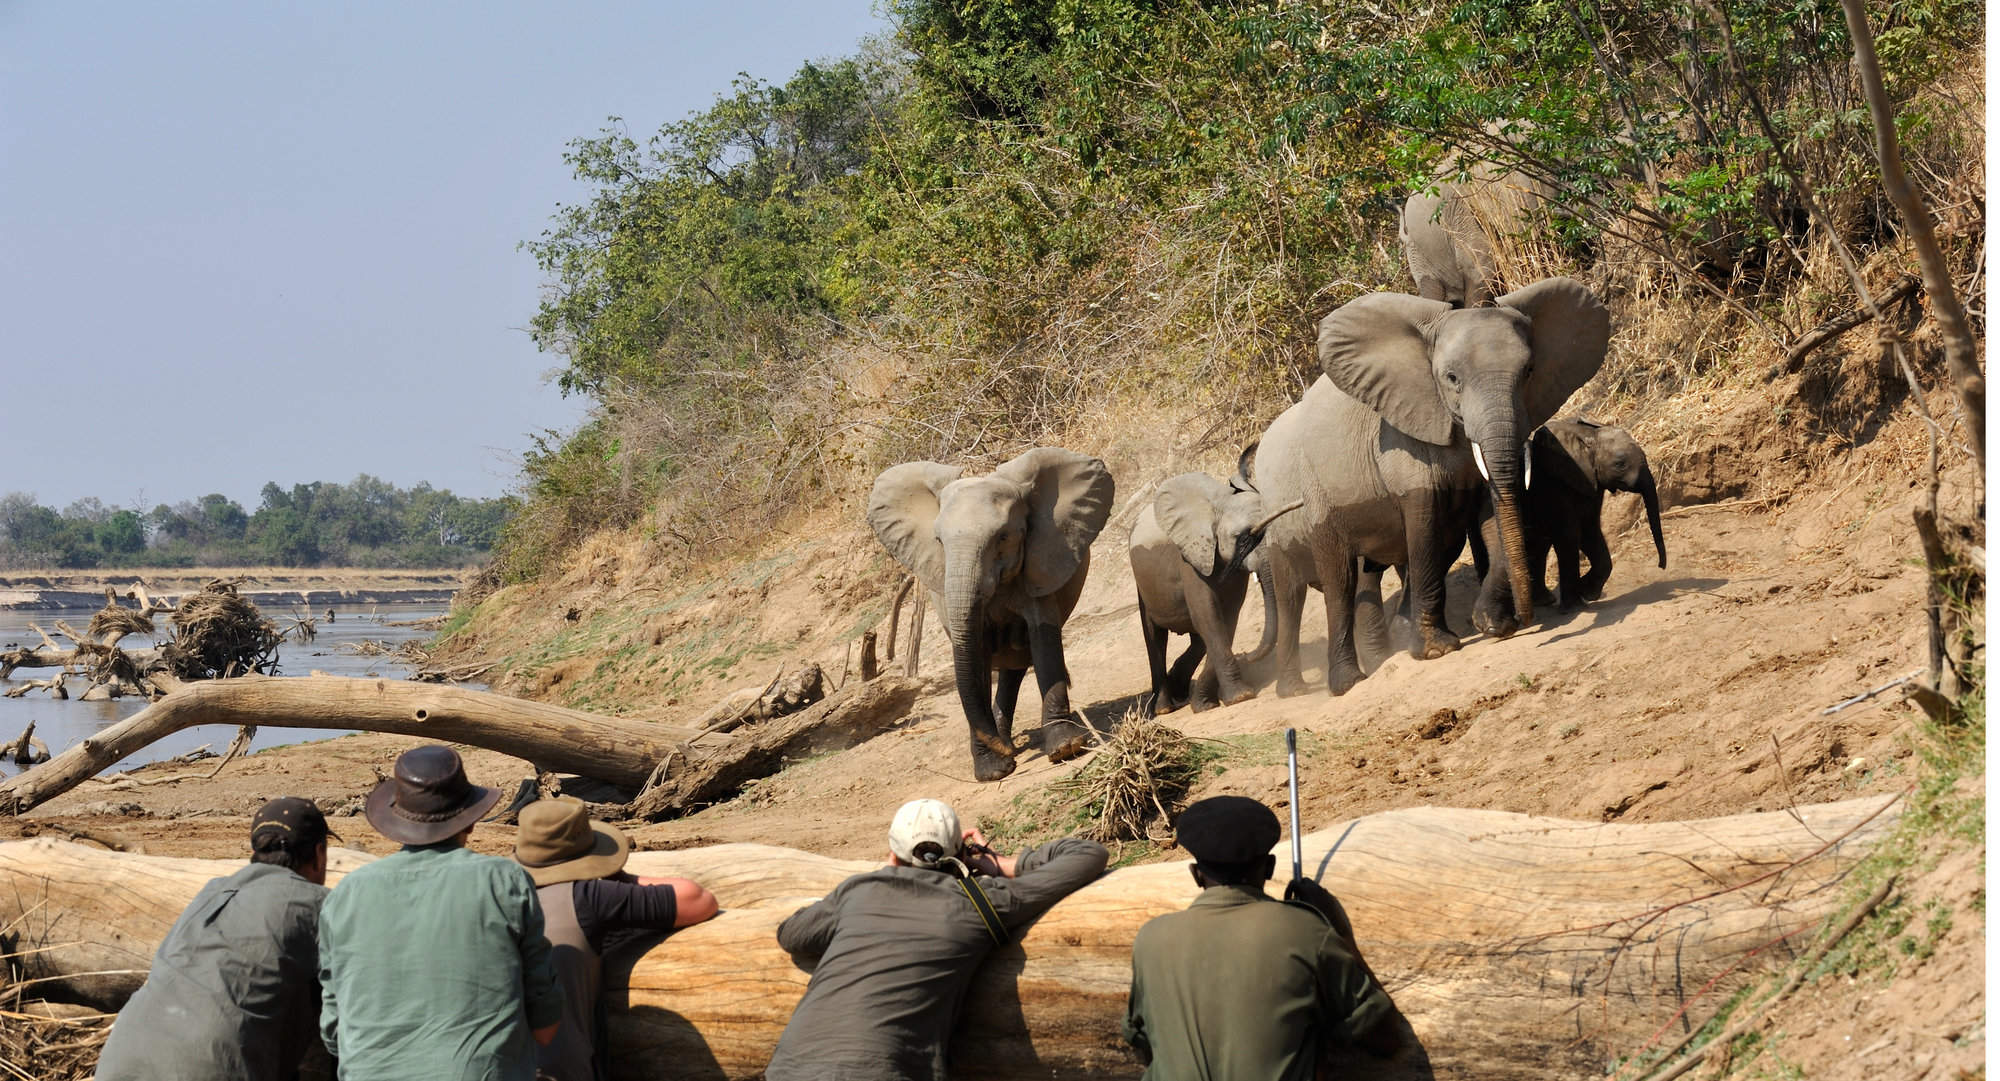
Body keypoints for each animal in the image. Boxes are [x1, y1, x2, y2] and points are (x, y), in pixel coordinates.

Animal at [868, 442, 1120, 780]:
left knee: (1017, 659)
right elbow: (976, 652)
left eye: (1003, 536)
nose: (1005, 754)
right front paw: (992, 771)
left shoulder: (1039, 563)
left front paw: (1065, 748)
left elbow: (1043, 636)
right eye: (939, 541)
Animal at [1136, 448, 1304, 716]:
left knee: (1197, 639)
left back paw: (1180, 691)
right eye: (1242, 538)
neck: (1220, 503)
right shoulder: (1190, 557)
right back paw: (1163, 709)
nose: (1245, 655)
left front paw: (1206, 704)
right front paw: (1240, 697)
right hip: (1144, 588)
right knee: (1155, 636)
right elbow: (1208, 615)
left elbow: (1227, 616)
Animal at [1248, 278, 1608, 696]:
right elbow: (1424, 528)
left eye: (1530, 371)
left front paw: (1492, 626)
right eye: (1451, 379)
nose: (1528, 617)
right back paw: (1339, 684)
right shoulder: (1403, 437)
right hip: (1310, 490)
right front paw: (1437, 651)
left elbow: (1491, 519)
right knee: (1331, 581)